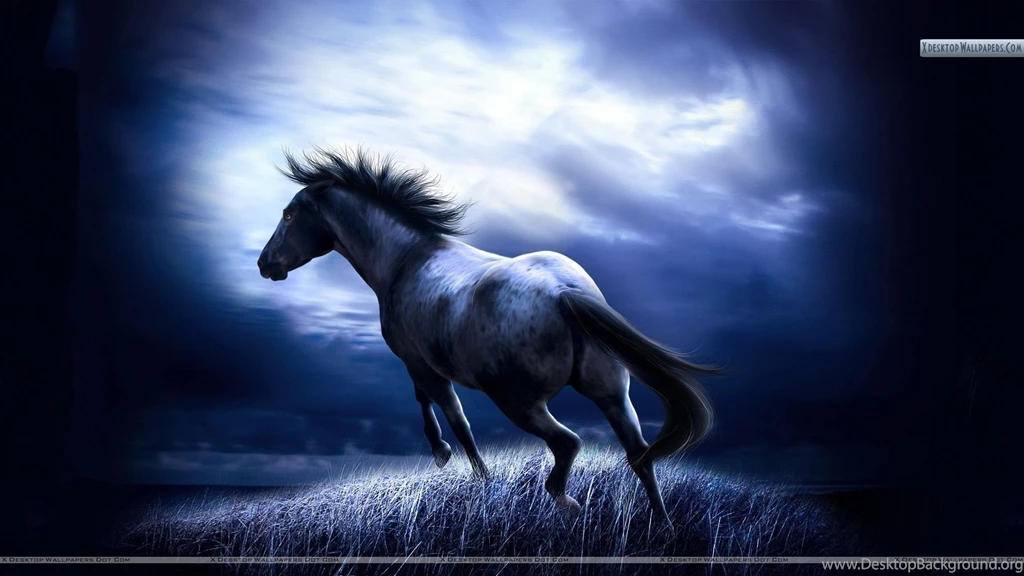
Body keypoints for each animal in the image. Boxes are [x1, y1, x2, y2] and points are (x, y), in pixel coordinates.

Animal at [257, 147, 720, 527]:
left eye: (289, 215)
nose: (265, 264)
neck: (406, 259)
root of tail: (567, 293)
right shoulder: (424, 366)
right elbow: (435, 406)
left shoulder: (420, 364)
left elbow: (452, 417)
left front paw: (461, 466)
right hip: (612, 393)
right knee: (639, 455)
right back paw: (662, 527)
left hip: (518, 401)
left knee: (568, 444)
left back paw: (568, 503)